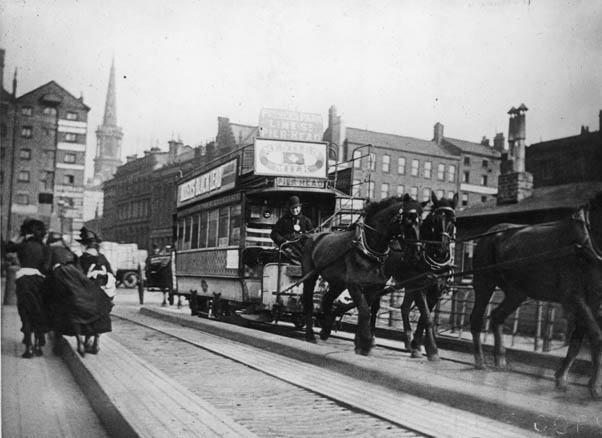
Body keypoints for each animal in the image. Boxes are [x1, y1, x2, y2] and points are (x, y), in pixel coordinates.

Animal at [301, 195, 423, 355]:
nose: (417, 253)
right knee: (308, 301)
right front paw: (366, 344)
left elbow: (367, 310)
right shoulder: (354, 284)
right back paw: (310, 334)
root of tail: (313, 236)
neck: (368, 247)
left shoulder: (374, 287)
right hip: (310, 276)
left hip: (338, 283)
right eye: (409, 220)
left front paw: (361, 343)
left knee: (327, 299)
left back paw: (325, 329)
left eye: (421, 221)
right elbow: (364, 311)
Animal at [370, 192, 457, 361]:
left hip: (408, 285)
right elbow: (427, 316)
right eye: (434, 221)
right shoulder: (419, 286)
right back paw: (371, 338)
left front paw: (418, 345)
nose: (442, 249)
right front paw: (431, 350)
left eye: (453, 220)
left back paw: (408, 341)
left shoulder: (436, 290)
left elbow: (424, 318)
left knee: (404, 308)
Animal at [470, 191, 602, 399]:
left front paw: (561, 379)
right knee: (476, 318)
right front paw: (594, 387)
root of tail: (490, 234)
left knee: (497, 316)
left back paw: (501, 361)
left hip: (517, 292)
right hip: (484, 283)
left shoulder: (593, 300)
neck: (584, 244)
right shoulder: (574, 297)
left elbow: (577, 339)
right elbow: (596, 335)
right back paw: (480, 361)